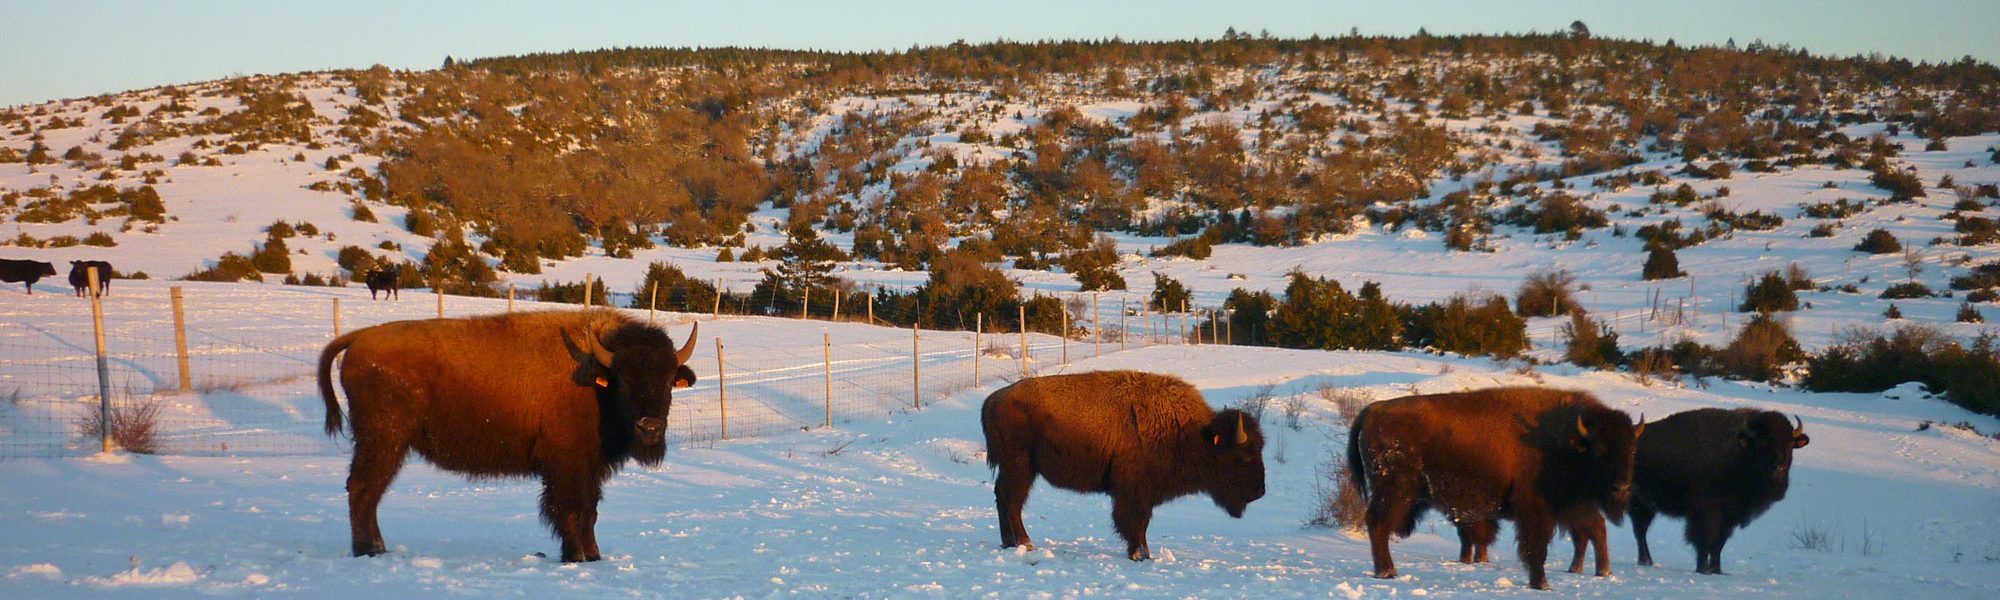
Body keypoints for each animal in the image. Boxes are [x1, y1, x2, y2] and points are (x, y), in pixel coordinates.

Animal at [980, 370, 1264, 564]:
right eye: (1244, 456)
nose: (1259, 492)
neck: (1192, 433)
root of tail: (992, 400)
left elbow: (1141, 523)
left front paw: (1143, 553)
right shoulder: (1133, 491)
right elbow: (1136, 521)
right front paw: (1141, 554)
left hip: (1017, 469)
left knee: (1003, 498)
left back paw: (1009, 543)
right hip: (1020, 467)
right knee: (1012, 501)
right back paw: (1026, 544)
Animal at [1344, 386, 1640, 588]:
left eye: (1631, 450)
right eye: (1600, 451)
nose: (1622, 487)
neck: (1568, 440)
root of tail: (1372, 410)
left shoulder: (1567, 503)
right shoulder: (1536, 509)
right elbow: (1537, 546)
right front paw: (1541, 584)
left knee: (1595, 527)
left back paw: (1602, 571)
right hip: (1394, 491)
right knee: (1378, 524)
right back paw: (1387, 572)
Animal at [1624, 410, 1816, 576]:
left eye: (1790, 444)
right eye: (1762, 444)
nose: (1779, 468)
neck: (1739, 453)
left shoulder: (1729, 518)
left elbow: (1718, 544)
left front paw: (1717, 570)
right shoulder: (1705, 514)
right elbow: (1704, 541)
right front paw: (1703, 569)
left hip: (1645, 505)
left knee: (1640, 531)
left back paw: (1647, 561)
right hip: (1638, 504)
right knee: (1640, 531)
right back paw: (1646, 561)